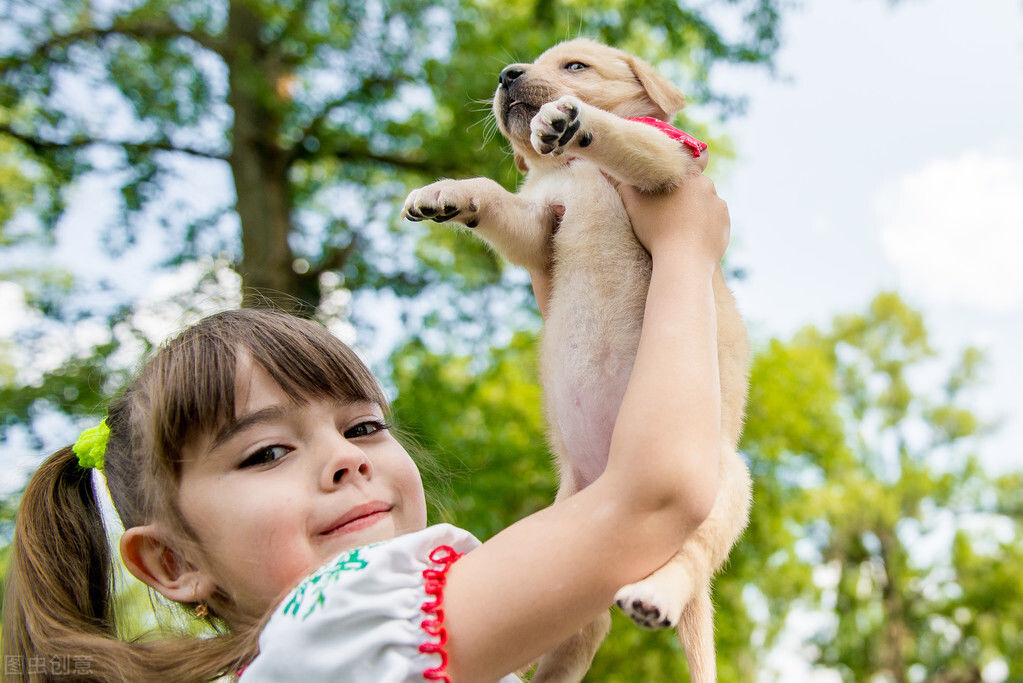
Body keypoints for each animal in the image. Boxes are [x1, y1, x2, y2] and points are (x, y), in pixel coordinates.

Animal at [405, 40, 752, 678]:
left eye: (575, 67)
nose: (506, 74)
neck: (570, 170)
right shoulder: (541, 223)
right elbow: (497, 198)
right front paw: (447, 192)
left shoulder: (666, 163)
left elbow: (625, 136)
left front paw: (570, 120)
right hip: (568, 560)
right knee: (579, 632)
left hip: (720, 487)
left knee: (690, 561)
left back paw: (657, 593)